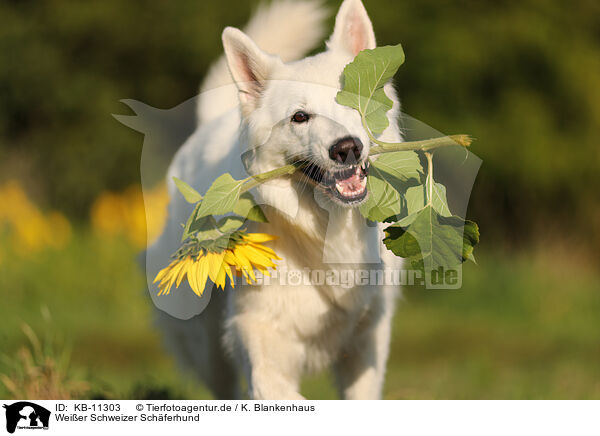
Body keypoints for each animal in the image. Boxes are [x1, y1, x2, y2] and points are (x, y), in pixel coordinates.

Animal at [149, 0, 404, 400]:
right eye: (300, 117)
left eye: (351, 103)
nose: (346, 148)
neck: (323, 229)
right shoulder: (260, 338)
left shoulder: (367, 343)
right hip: (208, 347)